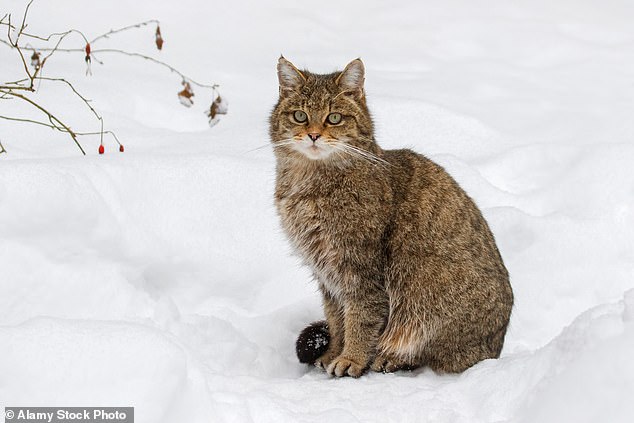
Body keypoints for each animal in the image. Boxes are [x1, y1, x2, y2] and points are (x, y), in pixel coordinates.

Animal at [270, 57, 512, 378]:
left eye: (334, 118)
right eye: (300, 115)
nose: (313, 135)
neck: (309, 183)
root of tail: (496, 348)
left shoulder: (360, 269)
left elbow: (360, 319)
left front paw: (352, 358)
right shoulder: (326, 274)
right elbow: (336, 319)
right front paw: (334, 351)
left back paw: (390, 357)